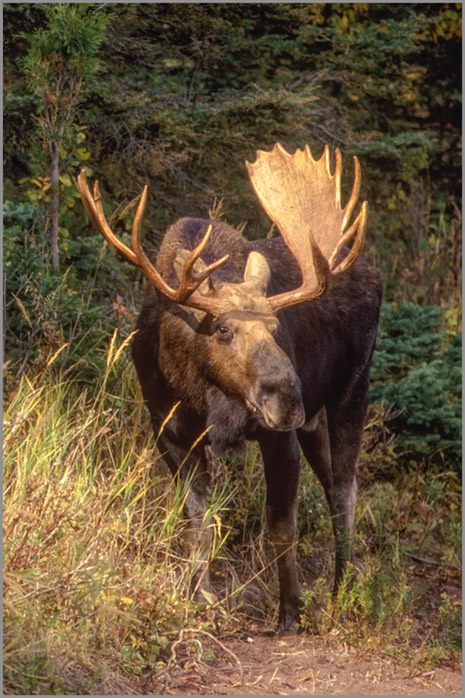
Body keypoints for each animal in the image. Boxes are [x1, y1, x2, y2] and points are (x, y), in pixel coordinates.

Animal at [79, 144, 380, 632]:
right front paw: (201, 601)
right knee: (332, 481)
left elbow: (281, 525)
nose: (286, 395)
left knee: (343, 491)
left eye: (276, 327)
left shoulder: (278, 438)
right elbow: (196, 524)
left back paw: (343, 592)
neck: (202, 393)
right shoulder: (170, 434)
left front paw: (290, 611)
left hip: (352, 391)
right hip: (314, 421)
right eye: (222, 328)